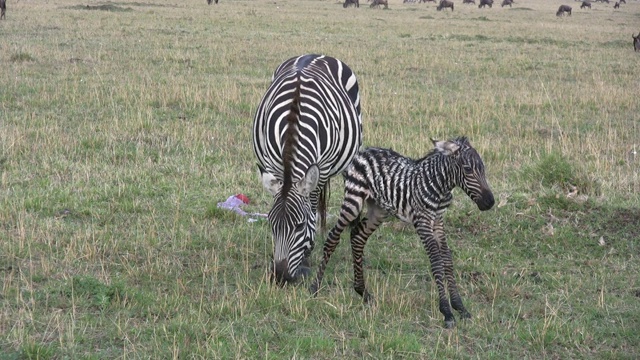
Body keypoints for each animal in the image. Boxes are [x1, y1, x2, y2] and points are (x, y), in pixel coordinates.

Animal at [255, 54, 364, 284]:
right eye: (271, 225)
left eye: (299, 226)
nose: (281, 277)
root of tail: (316, 55)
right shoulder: (272, 164)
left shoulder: (321, 169)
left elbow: (312, 206)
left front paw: (307, 254)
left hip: (350, 152)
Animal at [310, 136, 496, 328]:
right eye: (467, 169)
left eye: (483, 168)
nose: (490, 202)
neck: (439, 187)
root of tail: (363, 151)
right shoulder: (422, 222)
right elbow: (436, 262)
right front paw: (446, 311)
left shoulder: (438, 221)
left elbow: (447, 260)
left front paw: (460, 307)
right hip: (353, 201)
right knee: (333, 237)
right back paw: (315, 288)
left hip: (378, 210)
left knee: (358, 237)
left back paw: (363, 292)